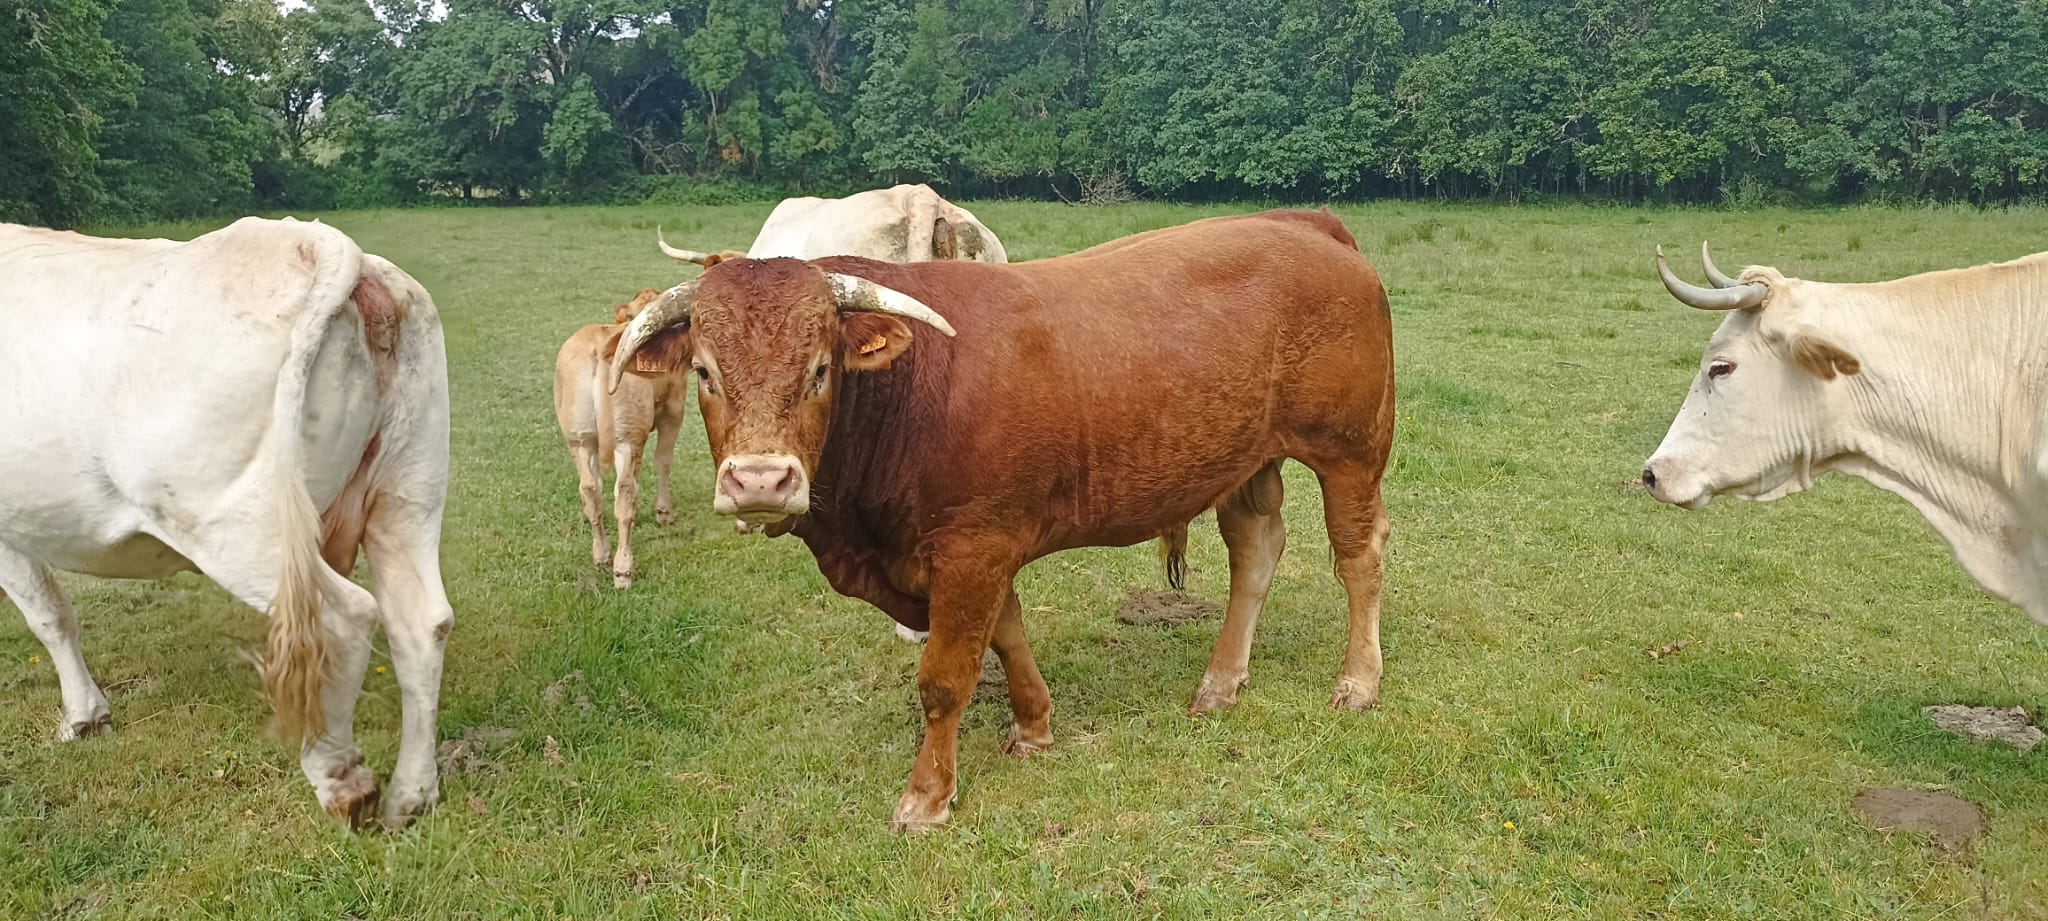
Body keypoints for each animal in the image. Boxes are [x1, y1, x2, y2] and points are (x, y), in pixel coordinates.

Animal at [0, 216, 452, 829]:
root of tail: (311, 241)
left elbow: (48, 614)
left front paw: (83, 717)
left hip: (240, 527)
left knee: (341, 621)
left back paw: (341, 782)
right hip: (408, 491)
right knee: (421, 623)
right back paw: (412, 796)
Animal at [553, 288, 689, 588]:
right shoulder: (674, 407)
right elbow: (664, 459)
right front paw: (664, 512)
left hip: (578, 438)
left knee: (590, 490)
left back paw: (601, 554)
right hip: (627, 438)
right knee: (625, 494)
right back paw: (623, 569)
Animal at [608, 209, 1395, 831]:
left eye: (820, 371)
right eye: (705, 371)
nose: (761, 480)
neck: (912, 391)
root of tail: (1306, 224)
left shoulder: (971, 547)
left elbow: (944, 676)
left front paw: (928, 796)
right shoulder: (981, 547)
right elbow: (1008, 633)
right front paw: (1034, 724)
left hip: (1351, 452)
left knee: (1358, 558)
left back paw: (1358, 682)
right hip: (1246, 460)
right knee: (1255, 550)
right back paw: (1221, 681)